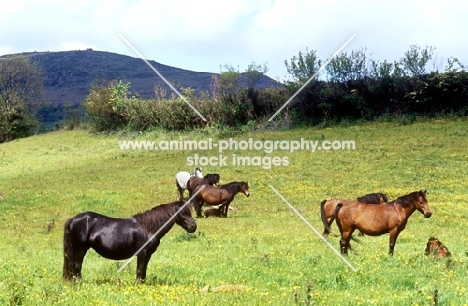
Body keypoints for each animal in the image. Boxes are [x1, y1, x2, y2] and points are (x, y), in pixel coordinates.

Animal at [61, 201, 196, 282]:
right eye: (183, 212)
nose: (193, 226)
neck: (148, 228)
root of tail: (73, 219)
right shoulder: (142, 253)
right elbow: (140, 270)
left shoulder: (147, 254)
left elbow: (143, 271)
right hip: (80, 249)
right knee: (77, 267)